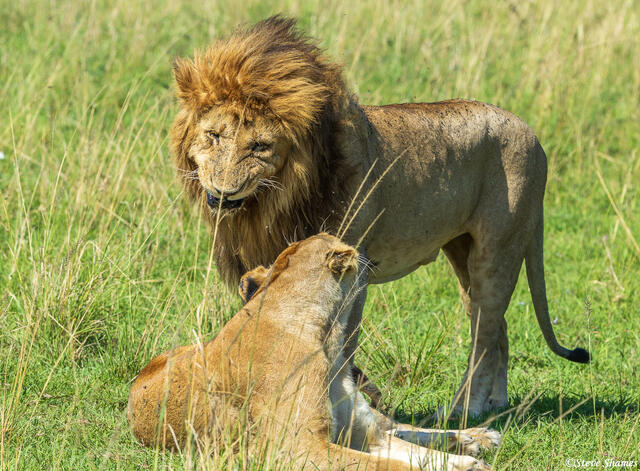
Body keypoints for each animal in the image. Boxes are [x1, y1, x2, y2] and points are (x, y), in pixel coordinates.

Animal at [128, 234, 500, 470]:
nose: (369, 255)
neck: (328, 339)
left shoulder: (365, 436)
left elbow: (415, 453)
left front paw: (470, 460)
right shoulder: (299, 450)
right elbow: (394, 465)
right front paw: (470, 463)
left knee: (402, 426)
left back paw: (479, 436)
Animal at [170, 16, 589, 417]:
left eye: (259, 146)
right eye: (214, 136)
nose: (224, 191)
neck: (272, 202)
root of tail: (533, 135)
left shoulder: (355, 266)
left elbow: (343, 341)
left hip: (497, 250)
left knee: (485, 332)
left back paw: (464, 408)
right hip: (462, 253)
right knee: (497, 326)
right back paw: (496, 405)